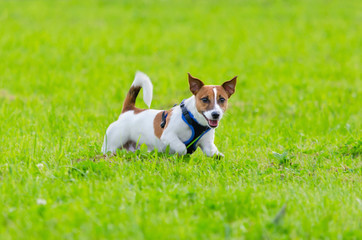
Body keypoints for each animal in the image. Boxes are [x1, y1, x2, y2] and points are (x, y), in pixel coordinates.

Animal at [102, 71, 238, 158]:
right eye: (204, 99)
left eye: (222, 99)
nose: (216, 114)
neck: (193, 119)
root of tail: (129, 110)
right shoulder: (168, 135)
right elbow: (181, 147)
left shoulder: (207, 144)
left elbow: (212, 152)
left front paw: (218, 156)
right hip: (111, 144)